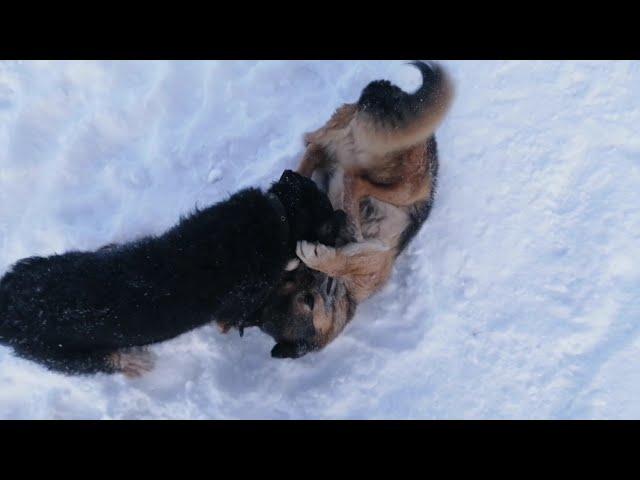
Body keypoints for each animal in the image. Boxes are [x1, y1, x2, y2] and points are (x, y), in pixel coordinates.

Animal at [0, 171, 344, 376]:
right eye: (326, 207)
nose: (344, 215)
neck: (278, 215)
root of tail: (11, 306)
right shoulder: (238, 307)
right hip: (60, 356)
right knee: (103, 362)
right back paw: (135, 362)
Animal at [255, 62, 456, 358]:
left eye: (309, 300)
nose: (314, 272)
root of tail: (391, 92)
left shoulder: (371, 262)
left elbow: (344, 262)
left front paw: (323, 255)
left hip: (409, 183)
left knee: (346, 173)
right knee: (324, 156)